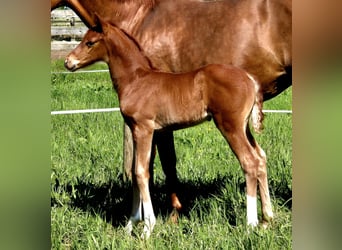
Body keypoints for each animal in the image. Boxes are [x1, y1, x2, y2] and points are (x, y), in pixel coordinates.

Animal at [50, 0, 292, 223]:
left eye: (90, 42)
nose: (68, 62)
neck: (137, 78)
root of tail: (250, 80)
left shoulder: (146, 128)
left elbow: (147, 169)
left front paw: (153, 223)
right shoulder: (142, 129)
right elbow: (141, 170)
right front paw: (134, 222)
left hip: (229, 126)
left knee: (249, 162)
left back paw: (251, 223)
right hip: (243, 127)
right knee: (260, 158)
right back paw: (268, 217)